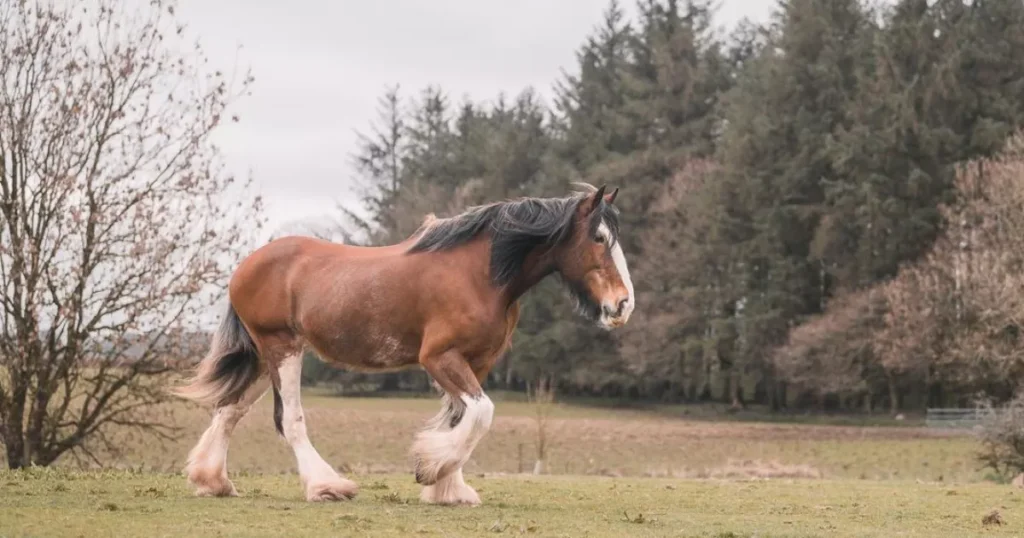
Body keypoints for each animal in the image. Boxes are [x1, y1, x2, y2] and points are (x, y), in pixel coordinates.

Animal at [172, 183, 630, 504]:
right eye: (599, 239)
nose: (623, 304)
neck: (479, 273)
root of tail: (245, 266)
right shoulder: (439, 358)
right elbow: (480, 414)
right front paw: (431, 470)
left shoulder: (476, 362)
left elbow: (461, 418)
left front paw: (448, 489)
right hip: (282, 348)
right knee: (289, 420)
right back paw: (326, 486)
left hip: (263, 357)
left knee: (228, 410)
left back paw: (213, 481)